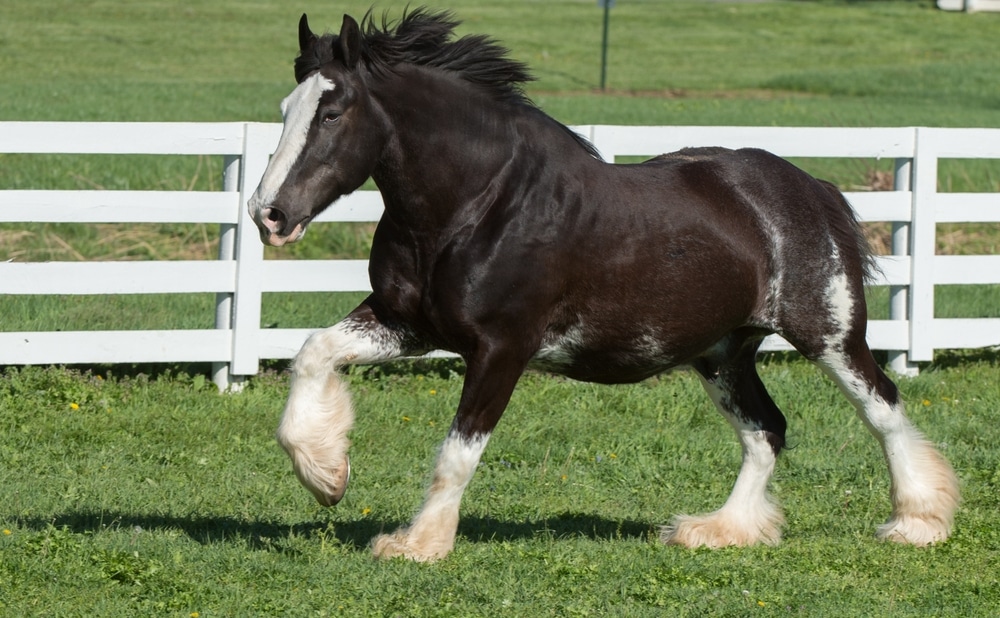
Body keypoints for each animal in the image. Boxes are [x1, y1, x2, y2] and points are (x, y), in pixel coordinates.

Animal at [246, 8, 956, 560]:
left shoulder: (501, 349)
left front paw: (418, 543)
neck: (480, 204)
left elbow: (458, 450)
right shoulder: (408, 323)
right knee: (767, 431)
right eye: (285, 109)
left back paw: (918, 522)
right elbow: (313, 353)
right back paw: (720, 531)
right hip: (723, 352)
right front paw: (327, 476)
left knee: (885, 409)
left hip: (829, 337)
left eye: (333, 113)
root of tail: (811, 187)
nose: (268, 214)